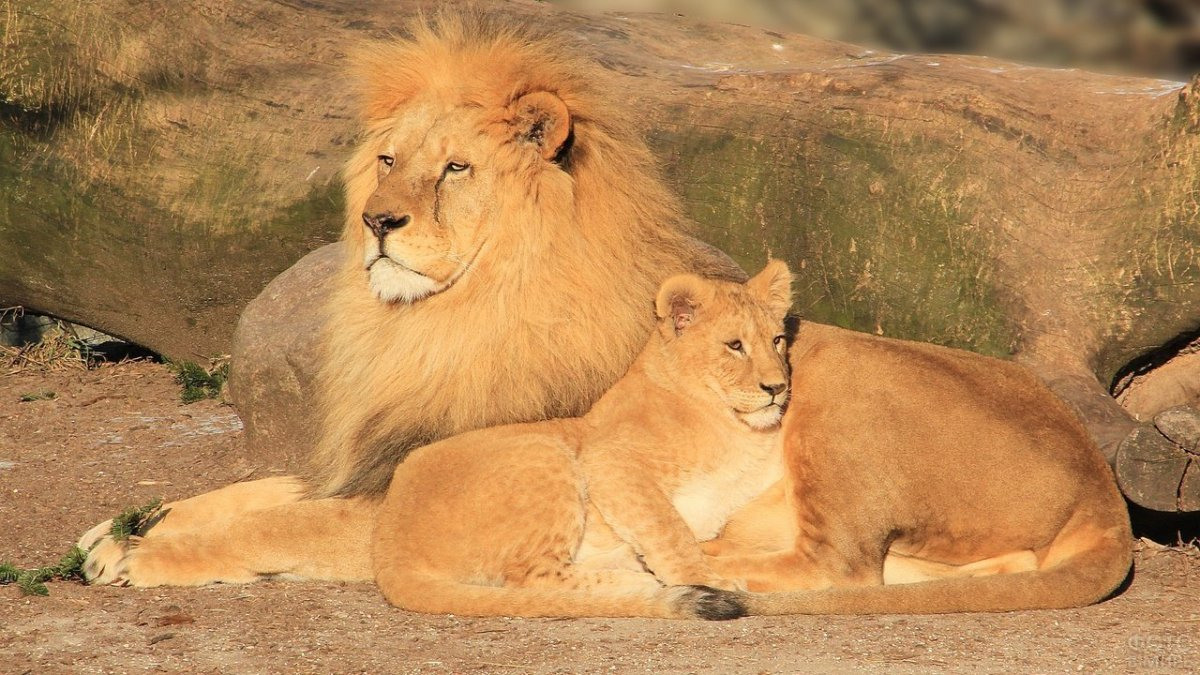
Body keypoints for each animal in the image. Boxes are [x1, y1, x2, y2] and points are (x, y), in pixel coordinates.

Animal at [79, 13, 739, 586]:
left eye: (456, 168)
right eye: (388, 159)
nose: (376, 220)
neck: (429, 329)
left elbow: (272, 525)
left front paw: (137, 553)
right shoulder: (372, 465)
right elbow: (258, 492)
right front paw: (124, 526)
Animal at [369, 260, 792, 619]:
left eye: (777, 340)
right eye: (734, 345)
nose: (778, 387)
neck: (732, 425)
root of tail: (389, 548)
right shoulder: (609, 460)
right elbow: (668, 527)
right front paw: (707, 578)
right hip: (546, 452)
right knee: (531, 578)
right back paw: (639, 581)